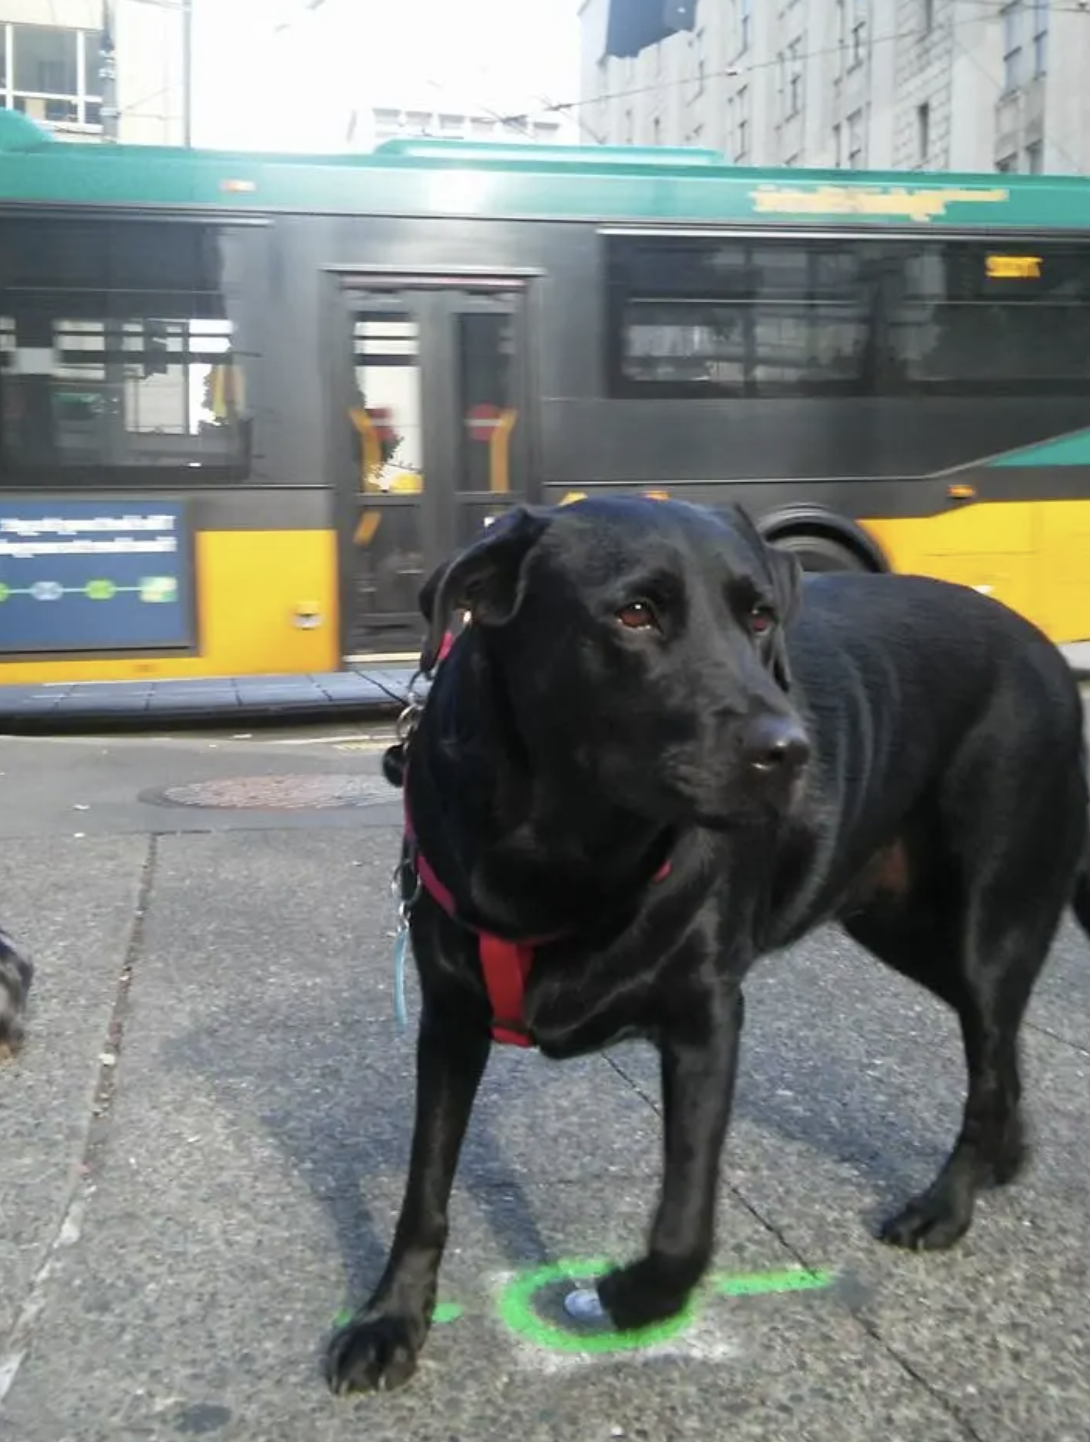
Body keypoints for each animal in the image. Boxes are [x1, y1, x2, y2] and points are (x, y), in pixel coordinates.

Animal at [326, 495, 1090, 1394]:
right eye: (635, 613)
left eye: (759, 615)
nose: (791, 751)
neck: (569, 847)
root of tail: (1044, 646)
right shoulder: (450, 1019)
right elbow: (425, 1189)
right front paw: (391, 1319)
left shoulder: (706, 1018)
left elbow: (686, 1221)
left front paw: (631, 1295)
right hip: (901, 924)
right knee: (997, 1052)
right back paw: (1007, 1157)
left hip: (989, 918)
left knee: (989, 1062)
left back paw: (946, 1206)